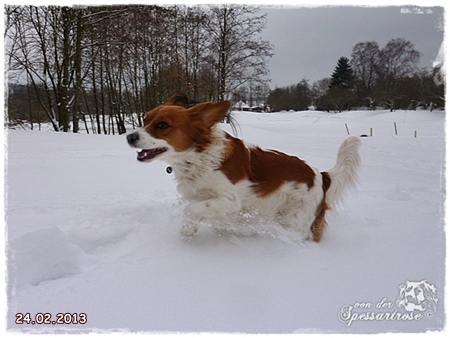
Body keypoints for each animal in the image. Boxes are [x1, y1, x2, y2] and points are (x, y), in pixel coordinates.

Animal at [127, 92, 362, 240]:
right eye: (145, 120)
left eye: (162, 125)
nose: (129, 137)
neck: (199, 157)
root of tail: (321, 176)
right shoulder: (202, 197)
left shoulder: (229, 200)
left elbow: (191, 210)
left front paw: (186, 232)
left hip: (296, 221)